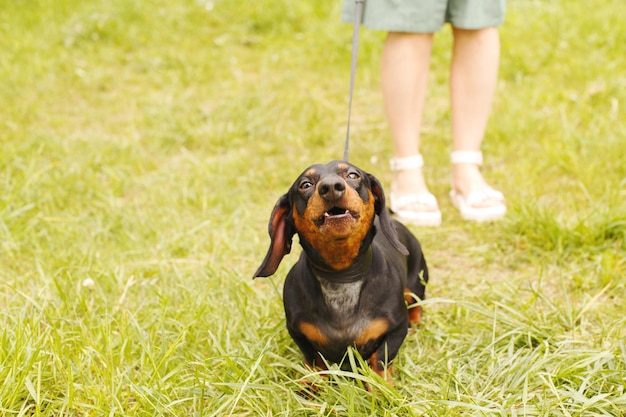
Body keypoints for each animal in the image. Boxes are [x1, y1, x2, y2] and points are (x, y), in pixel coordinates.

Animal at [252, 159, 424, 384]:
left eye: (353, 175)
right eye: (305, 184)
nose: (331, 187)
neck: (341, 276)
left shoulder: (396, 329)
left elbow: (379, 360)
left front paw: (380, 387)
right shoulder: (298, 332)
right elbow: (314, 360)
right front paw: (308, 386)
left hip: (416, 285)